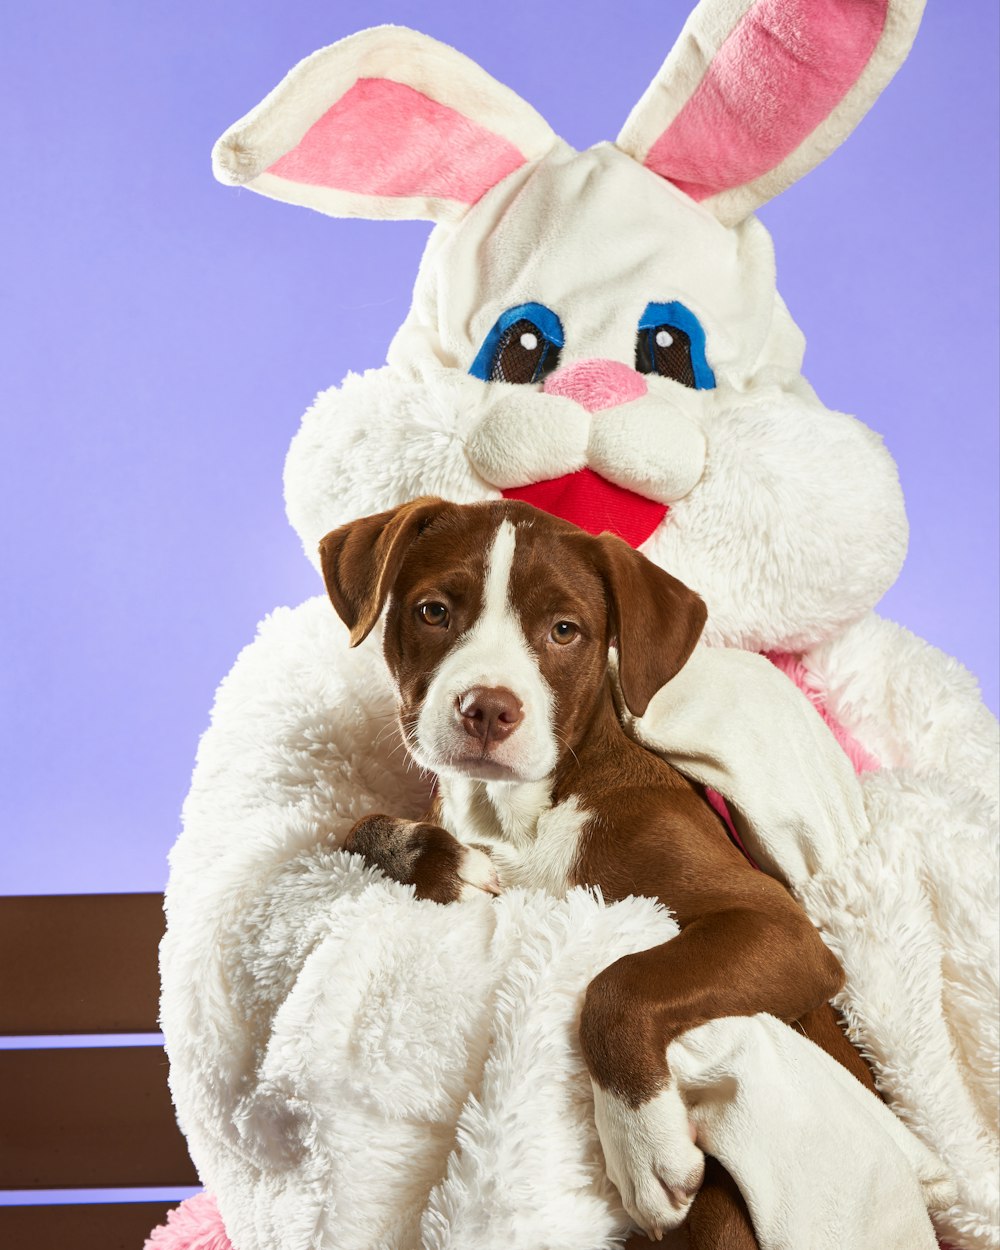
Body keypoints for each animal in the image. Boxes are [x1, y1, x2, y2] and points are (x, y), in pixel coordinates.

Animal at [320, 497, 875, 1250]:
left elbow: (622, 982)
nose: (488, 708)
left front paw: (644, 1149)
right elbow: (357, 827)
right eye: (434, 611)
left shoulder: (781, 926)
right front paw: (443, 864)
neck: (515, 813)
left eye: (565, 631)